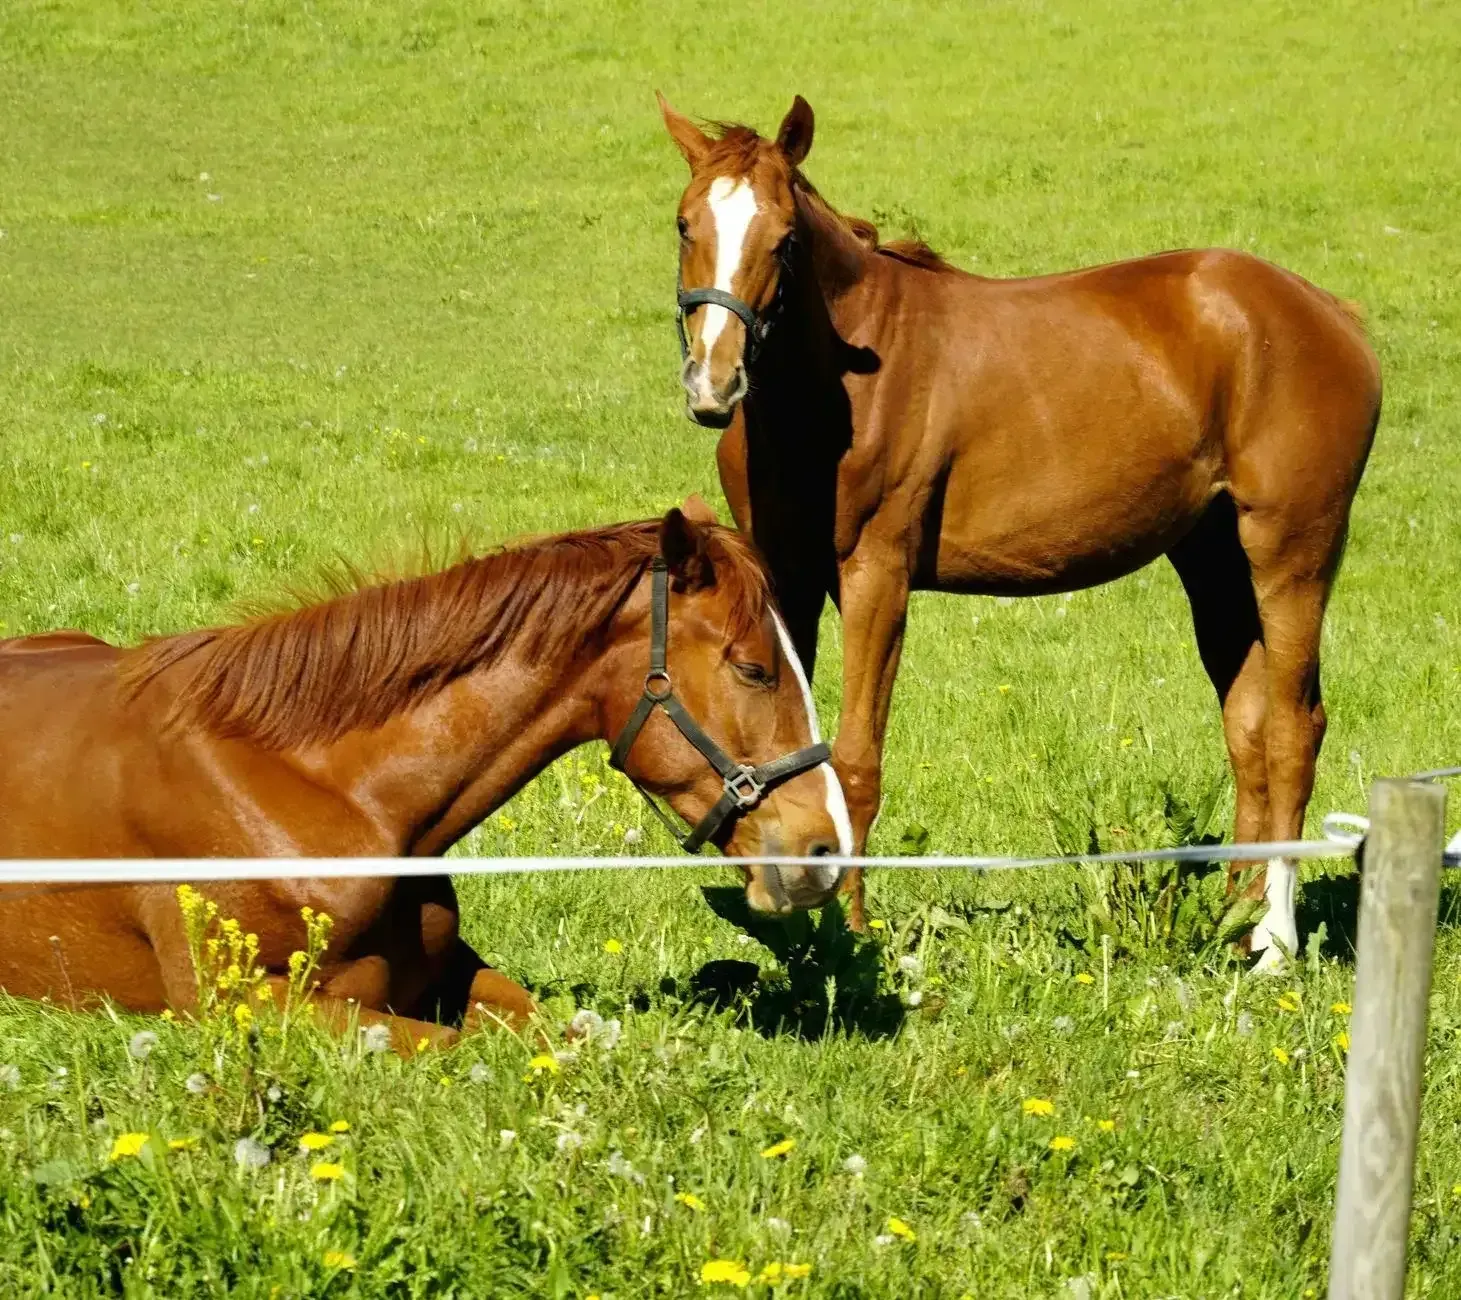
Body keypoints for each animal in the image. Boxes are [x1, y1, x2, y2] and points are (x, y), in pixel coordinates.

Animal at [0, 506, 852, 1051]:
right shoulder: (251, 1004)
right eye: (753, 668)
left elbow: (561, 1029)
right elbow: (462, 1049)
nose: (824, 852)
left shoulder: (451, 970)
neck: (325, 791)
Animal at [658, 94, 1382, 967]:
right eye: (685, 223)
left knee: (1290, 728)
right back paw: (1235, 922)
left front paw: (854, 940)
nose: (713, 382)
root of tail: (1328, 313)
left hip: (1290, 552)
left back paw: (1274, 940)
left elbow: (857, 759)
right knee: (1246, 729)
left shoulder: (876, 576)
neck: (836, 387)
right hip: (1211, 560)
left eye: (784, 238)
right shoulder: (785, 580)